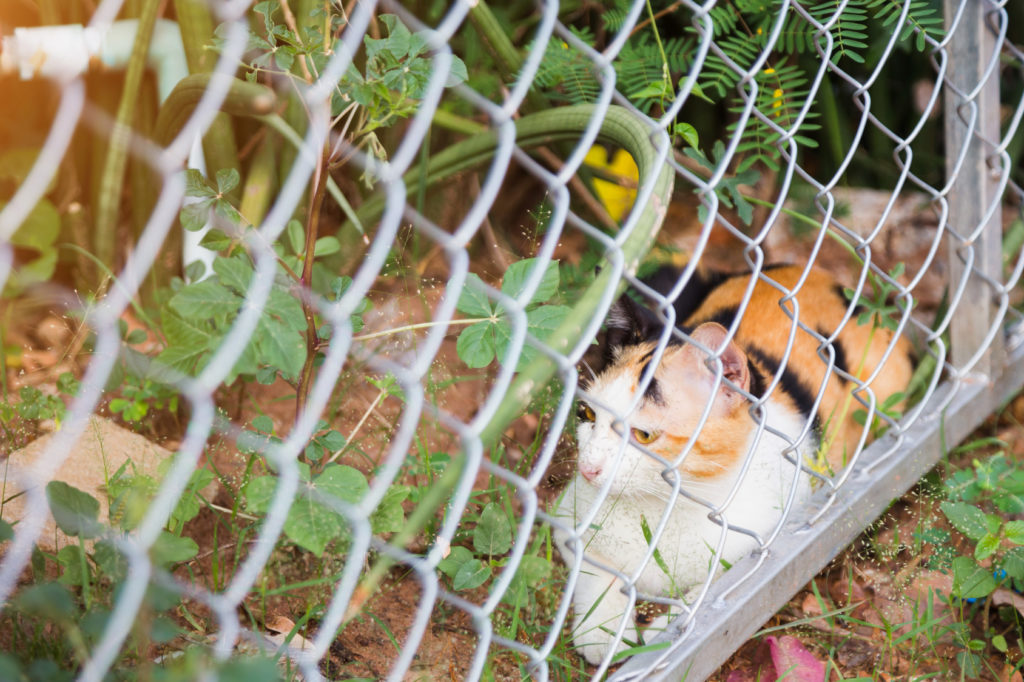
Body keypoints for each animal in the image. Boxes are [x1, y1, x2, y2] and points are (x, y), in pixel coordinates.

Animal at [552, 262, 913, 659]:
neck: (670, 506)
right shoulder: (568, 522)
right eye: (586, 413)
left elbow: (713, 591)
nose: (589, 468)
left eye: (644, 435)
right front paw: (603, 636)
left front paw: (663, 634)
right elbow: (595, 575)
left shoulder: (774, 541)